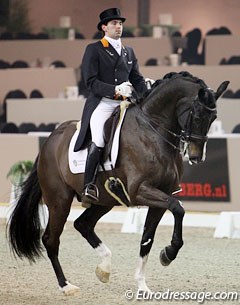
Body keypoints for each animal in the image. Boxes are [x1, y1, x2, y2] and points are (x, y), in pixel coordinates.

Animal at [7, 71, 229, 294]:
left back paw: (104, 268)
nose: (196, 157)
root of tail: (50, 140)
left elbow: (148, 238)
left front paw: (143, 283)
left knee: (83, 224)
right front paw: (169, 253)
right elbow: (178, 208)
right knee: (51, 239)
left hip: (105, 200)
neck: (153, 130)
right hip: (59, 201)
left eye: (214, 118)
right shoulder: (140, 191)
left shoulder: (162, 195)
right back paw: (66, 286)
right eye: (197, 116)